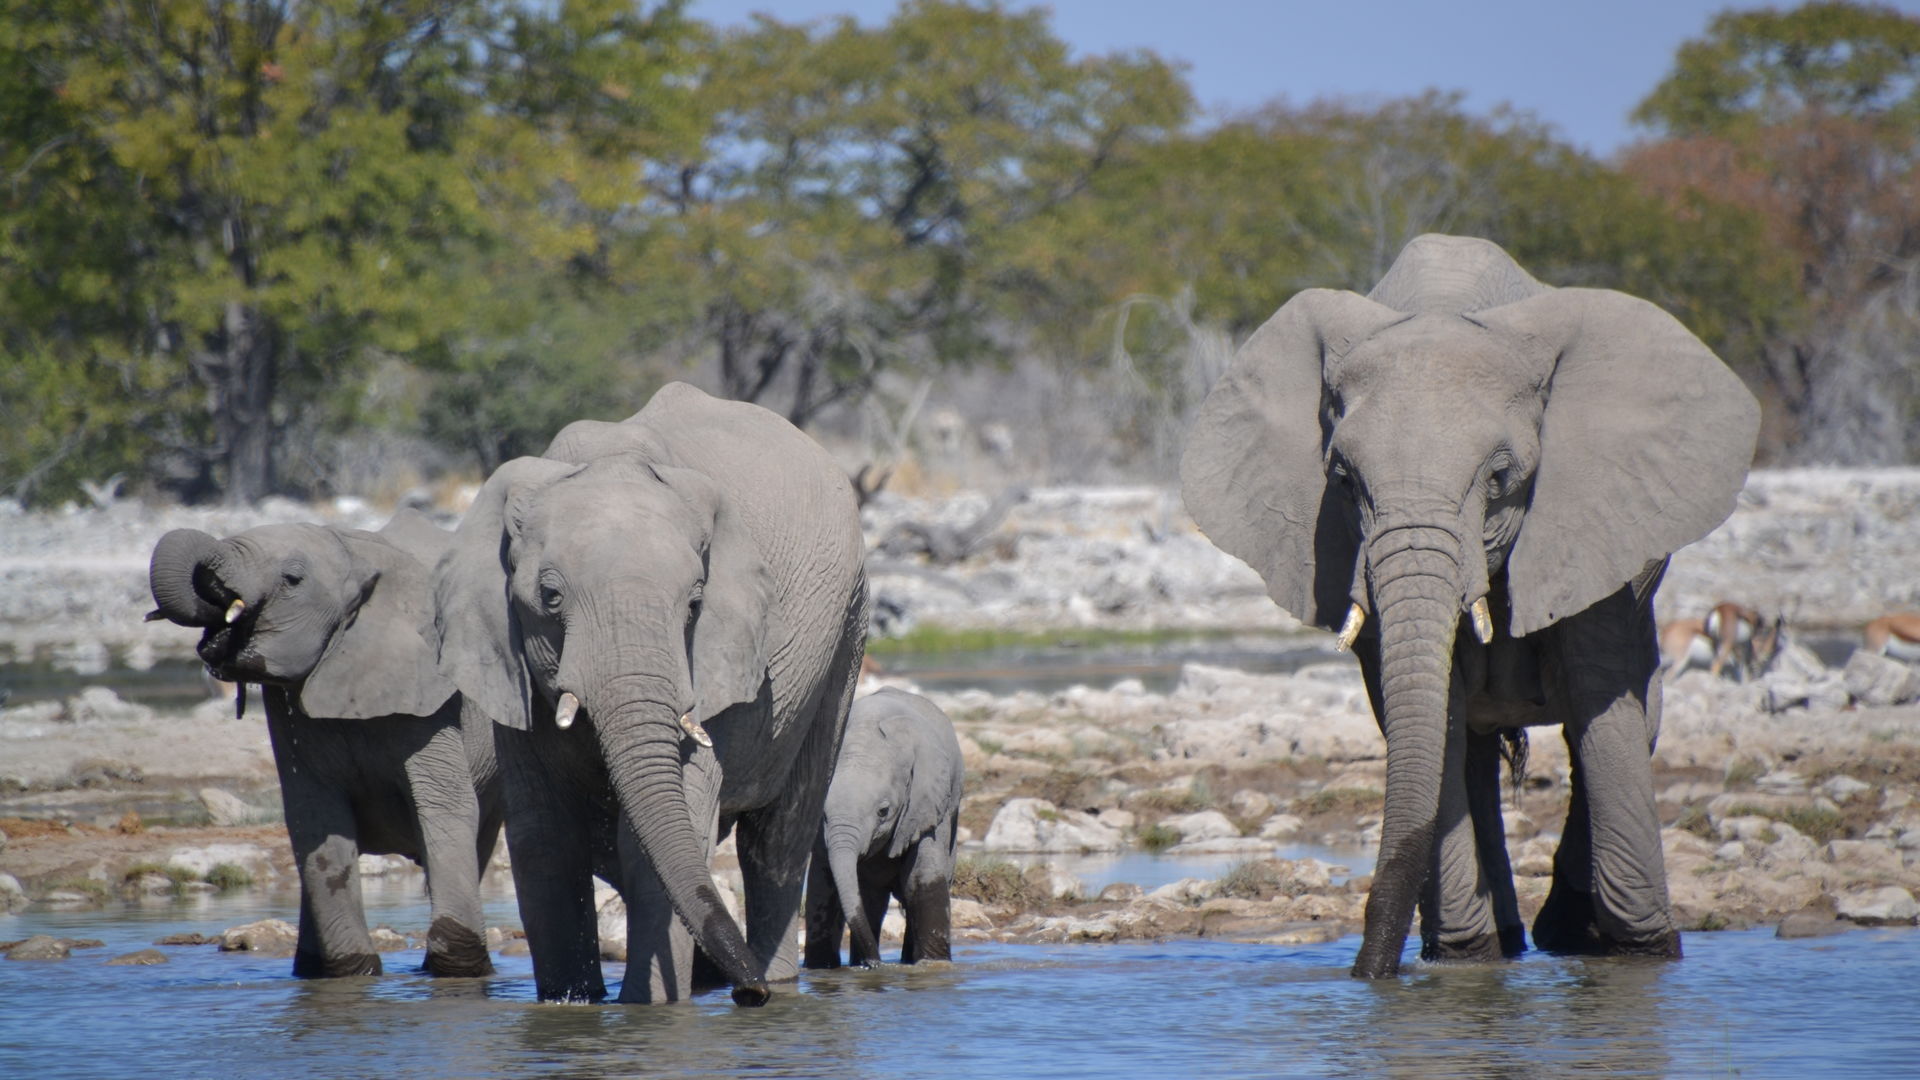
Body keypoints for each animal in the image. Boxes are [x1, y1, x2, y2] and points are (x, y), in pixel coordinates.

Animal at [144, 507, 499, 976]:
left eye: (292, 579)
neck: (353, 551)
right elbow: (315, 820)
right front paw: (352, 970)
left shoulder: (434, 699)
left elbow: (446, 806)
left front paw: (458, 971)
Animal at [439, 378, 867, 999]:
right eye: (550, 597)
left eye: (694, 603)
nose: (750, 994)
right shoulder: (511, 671)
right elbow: (544, 843)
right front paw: (572, 1004)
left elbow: (657, 838)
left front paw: (651, 1009)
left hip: (846, 633)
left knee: (778, 838)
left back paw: (777, 978)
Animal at [802, 687, 967, 968]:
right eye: (822, 813)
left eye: (883, 812)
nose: (875, 964)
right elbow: (824, 886)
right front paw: (820, 968)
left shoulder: (930, 805)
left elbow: (922, 878)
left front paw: (933, 966)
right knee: (871, 901)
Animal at [1175, 235, 1758, 976]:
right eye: (1343, 480)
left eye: (1500, 477)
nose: (1366, 973)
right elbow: (1435, 715)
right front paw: (1462, 961)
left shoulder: (1593, 521)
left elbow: (1599, 704)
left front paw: (1643, 953)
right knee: (1477, 754)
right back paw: (1500, 943)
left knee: (1625, 716)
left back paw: (1564, 933)